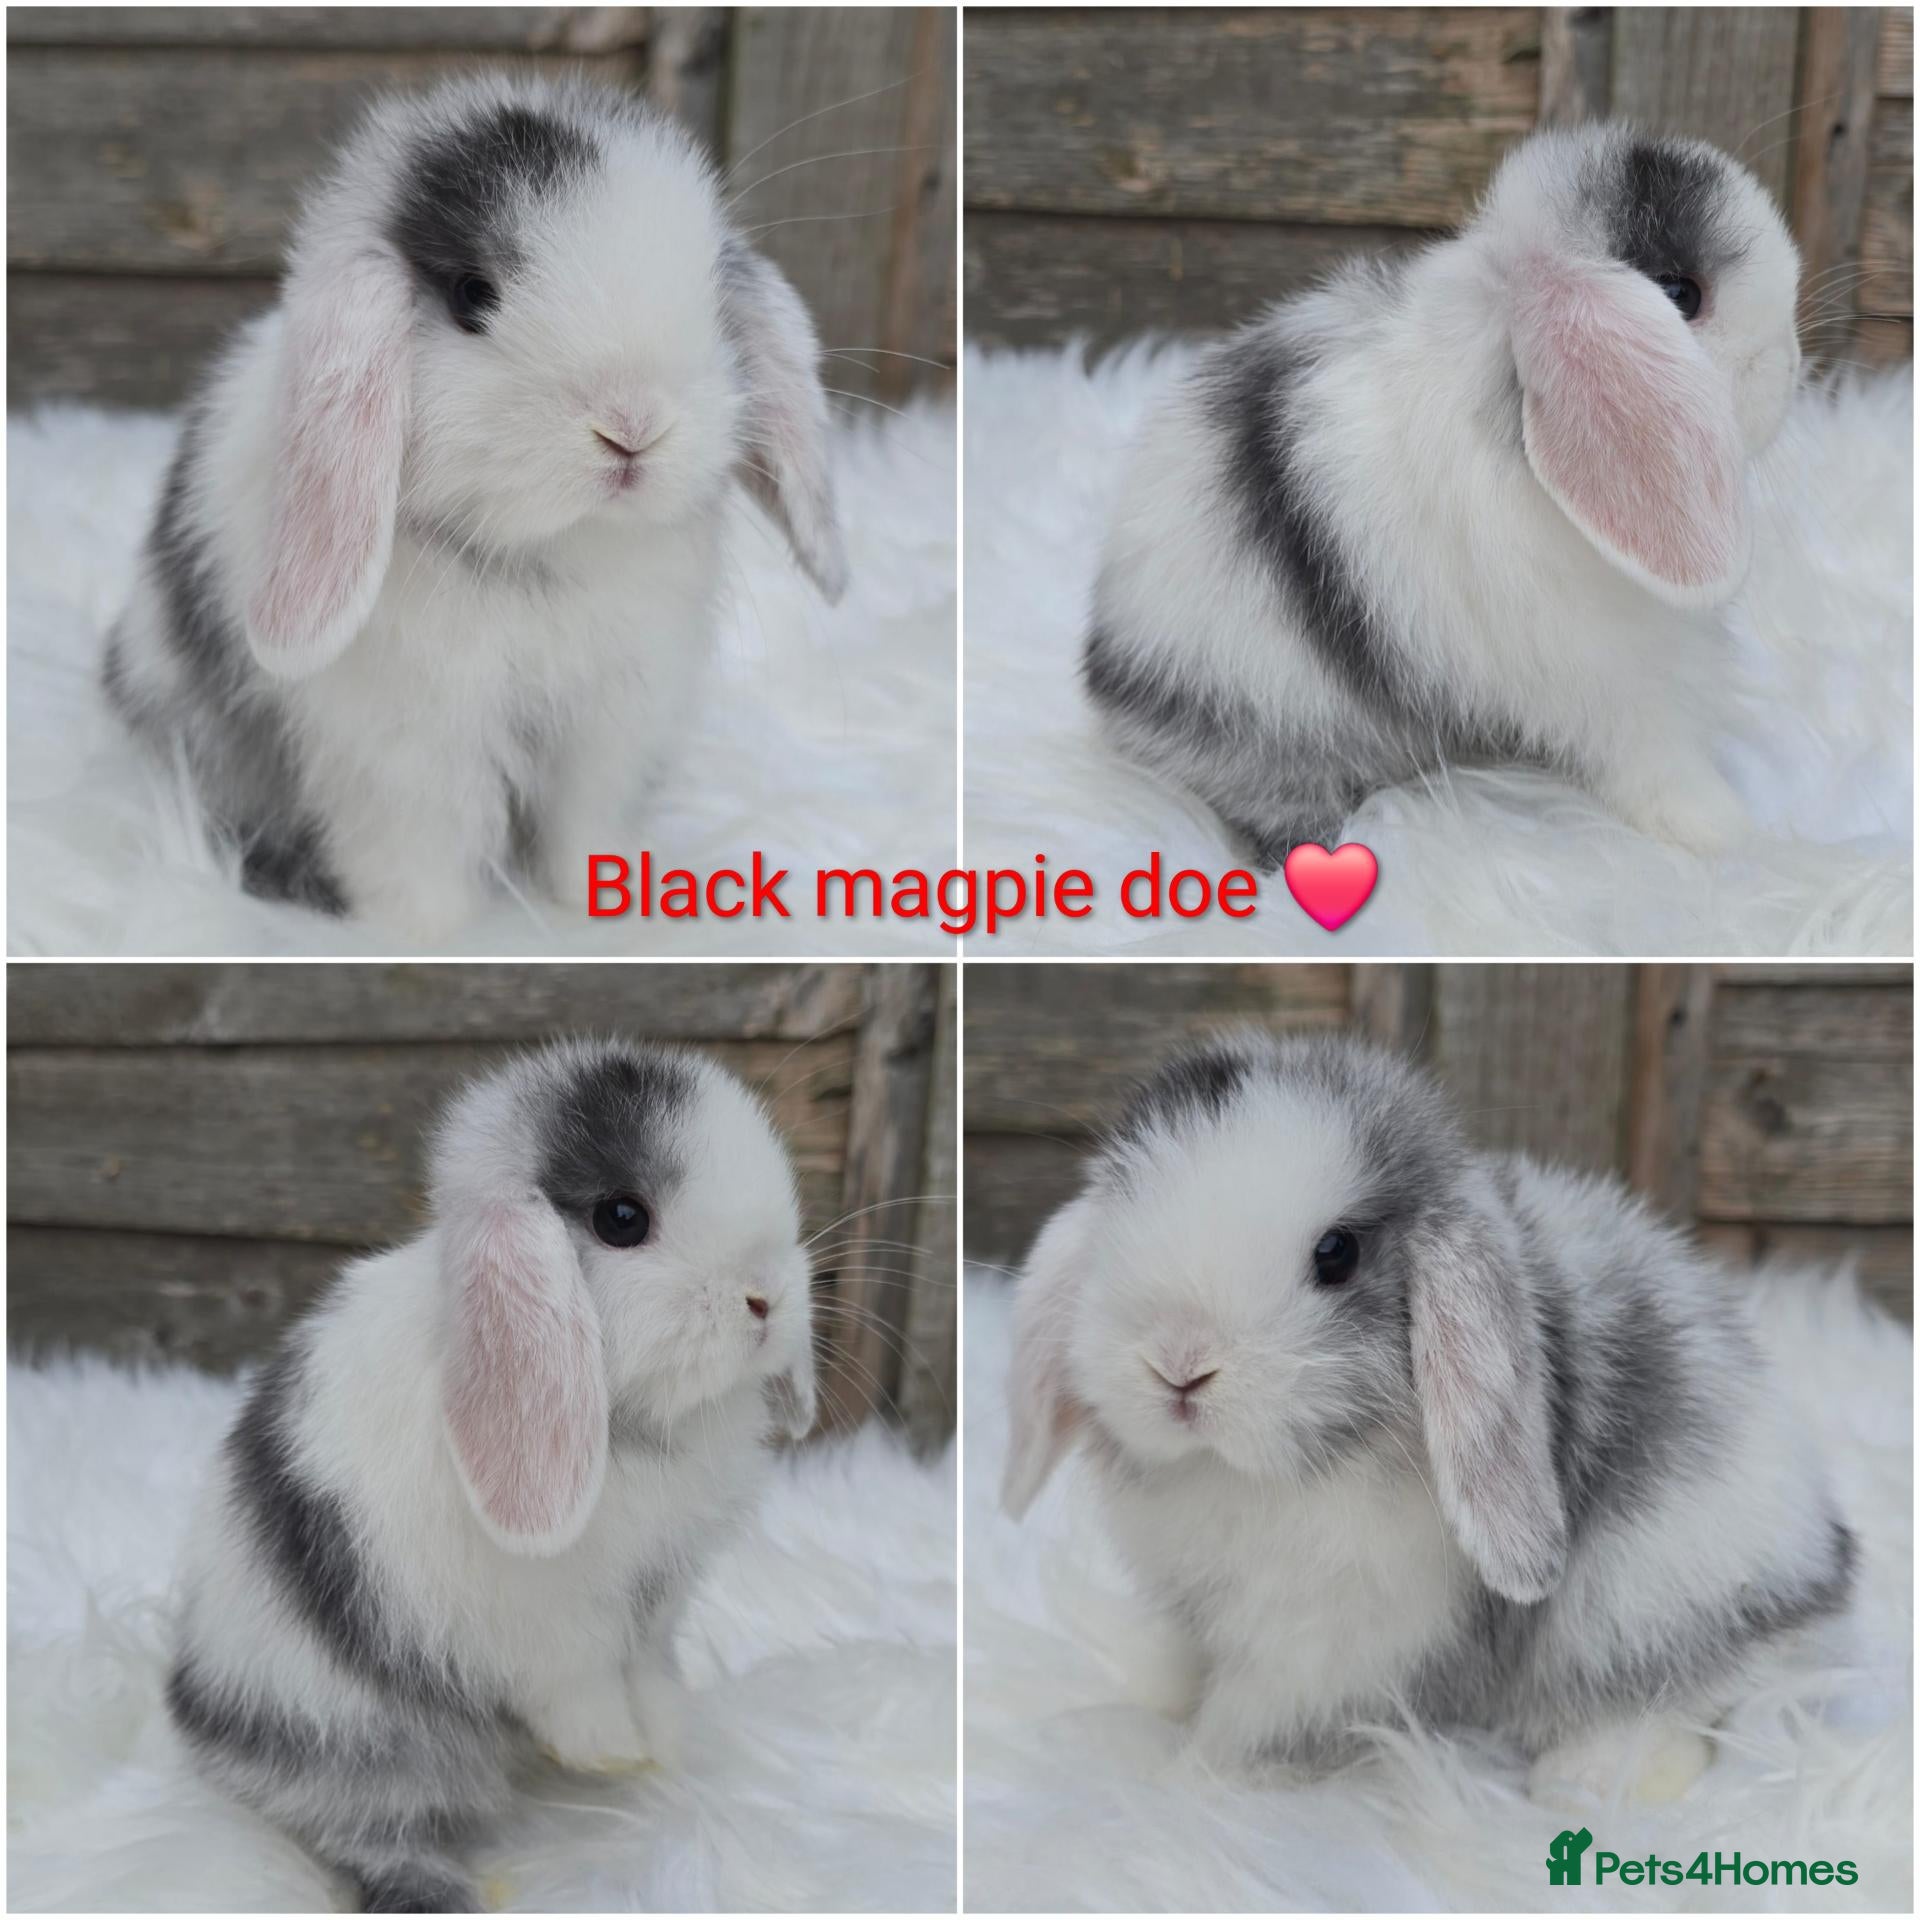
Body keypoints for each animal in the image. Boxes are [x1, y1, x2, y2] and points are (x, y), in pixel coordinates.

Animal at [104, 73, 846, 937]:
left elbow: (585, 830)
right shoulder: (407, 755)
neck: (540, 563)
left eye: (710, 296)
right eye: (472, 296)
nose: (632, 428)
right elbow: (421, 860)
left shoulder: (609, 732)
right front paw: (428, 935)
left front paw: (597, 914)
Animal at [165, 1038, 818, 1912]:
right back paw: (445, 1886)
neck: (637, 1427)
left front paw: (665, 1744)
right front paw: (612, 1753)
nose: (767, 1299)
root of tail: (197, 1706)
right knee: (369, 1834)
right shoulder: (541, 1631)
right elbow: (578, 1688)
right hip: (361, 1749)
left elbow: (649, 1672)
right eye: (622, 1220)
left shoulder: (656, 1607)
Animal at [1002, 1031, 1856, 1803]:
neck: (1249, 1476)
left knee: (1680, 1711)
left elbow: (1250, 1728)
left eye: (1336, 1253)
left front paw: (1181, 1783)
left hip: (1648, 1604)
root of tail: (1822, 1568)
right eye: (1119, 1224)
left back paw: (1590, 1782)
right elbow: (1188, 1673)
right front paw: (1148, 1708)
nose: (1179, 1365)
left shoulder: (1329, 1650)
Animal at [1084, 123, 1803, 867]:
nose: (1793, 364)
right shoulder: (1617, 690)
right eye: (1681, 294)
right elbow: (1662, 768)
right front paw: (1729, 833)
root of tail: (1110, 663)